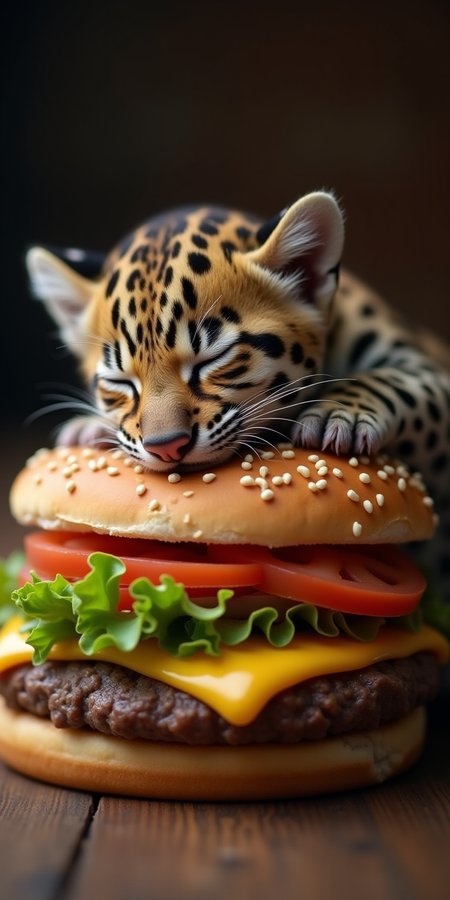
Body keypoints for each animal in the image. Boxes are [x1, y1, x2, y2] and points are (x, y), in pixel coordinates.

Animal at [26, 191, 450, 599]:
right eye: (120, 381)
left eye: (212, 359)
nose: (166, 447)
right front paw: (88, 427)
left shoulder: (430, 374)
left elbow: (399, 384)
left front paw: (339, 413)